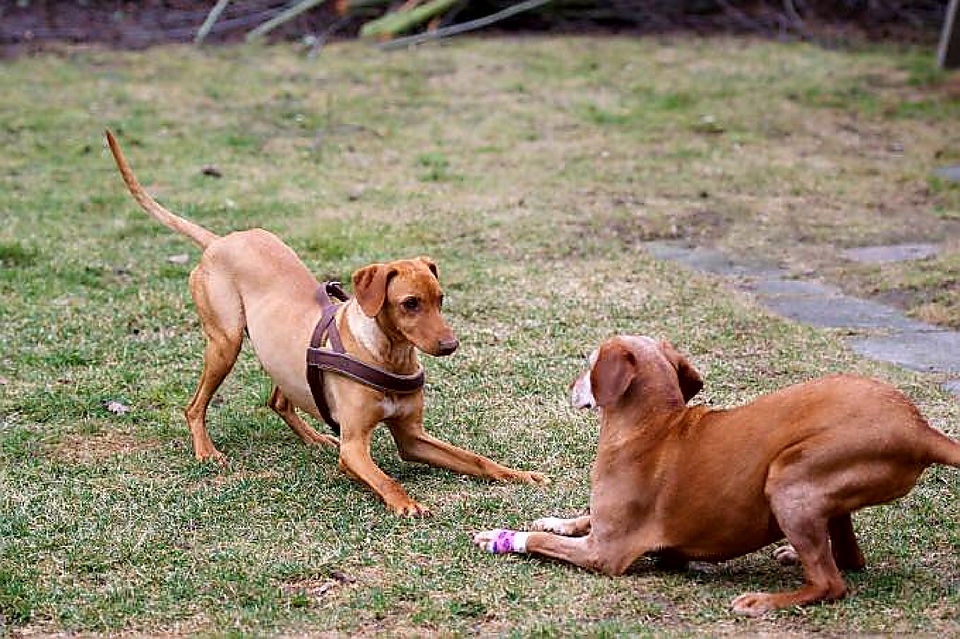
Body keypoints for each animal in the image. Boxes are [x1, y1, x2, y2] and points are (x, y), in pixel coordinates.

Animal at [103, 132, 548, 516]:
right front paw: (406, 503)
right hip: (225, 343)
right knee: (194, 406)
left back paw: (313, 436)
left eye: (440, 299)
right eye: (410, 304)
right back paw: (206, 451)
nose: (450, 344)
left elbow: (476, 459)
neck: (387, 353)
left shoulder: (412, 436)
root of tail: (220, 240)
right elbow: (385, 479)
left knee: (279, 400)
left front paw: (519, 474)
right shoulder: (352, 448)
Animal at [474, 336, 960, 616]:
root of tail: (918, 428)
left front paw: (503, 537)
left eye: (589, 362)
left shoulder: (606, 555)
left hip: (788, 478)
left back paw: (766, 601)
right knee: (849, 557)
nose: (570, 388)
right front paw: (554, 519)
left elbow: (541, 542)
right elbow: (577, 519)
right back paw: (793, 554)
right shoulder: (607, 526)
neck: (655, 425)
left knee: (831, 583)